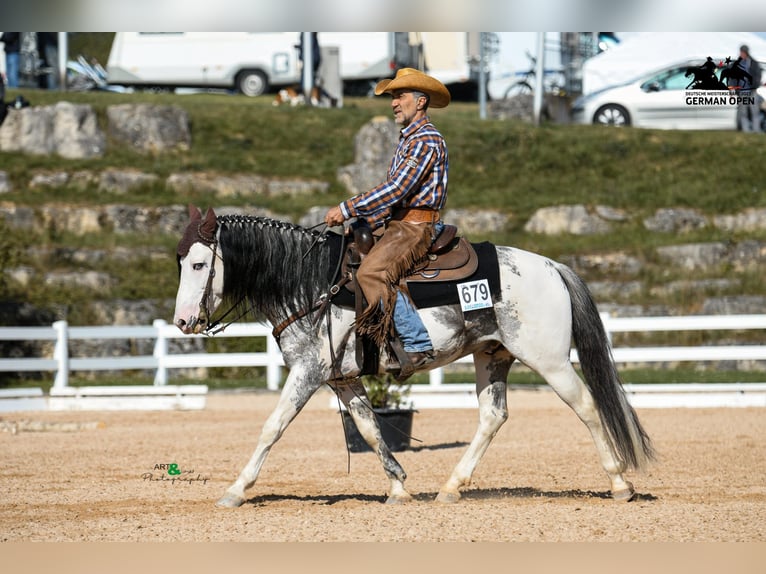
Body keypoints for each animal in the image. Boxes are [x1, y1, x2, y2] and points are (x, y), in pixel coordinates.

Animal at [174, 206, 656, 508]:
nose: (181, 321)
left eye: (199, 265)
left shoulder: (308, 372)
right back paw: (451, 487)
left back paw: (619, 483)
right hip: (493, 356)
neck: (311, 283)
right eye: (179, 262)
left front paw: (236, 490)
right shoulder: (341, 379)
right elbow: (369, 430)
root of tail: (553, 267)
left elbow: (272, 427)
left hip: (549, 361)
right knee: (492, 417)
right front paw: (398, 487)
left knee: (588, 406)